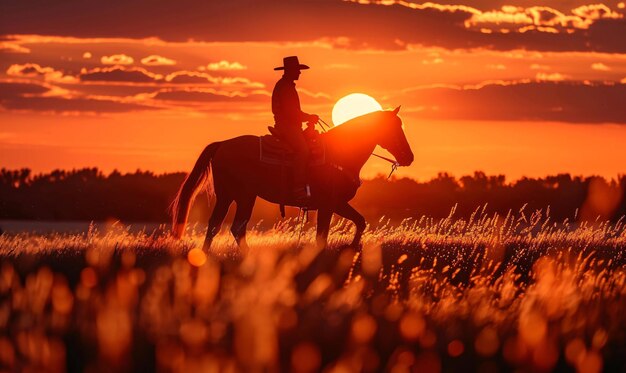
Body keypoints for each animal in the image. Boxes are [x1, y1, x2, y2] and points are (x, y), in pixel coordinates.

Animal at [172, 105, 414, 250]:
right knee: (229, 226)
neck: (340, 153)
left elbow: (360, 221)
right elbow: (322, 234)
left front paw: (352, 247)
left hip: (233, 196)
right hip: (239, 196)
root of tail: (222, 144)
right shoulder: (328, 204)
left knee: (222, 225)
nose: (409, 157)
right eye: (394, 127)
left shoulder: (337, 204)